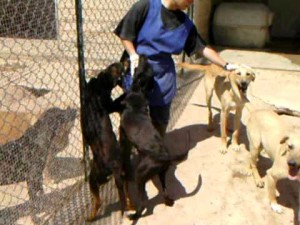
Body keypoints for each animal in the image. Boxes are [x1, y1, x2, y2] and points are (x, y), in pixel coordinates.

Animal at [119, 55, 185, 220]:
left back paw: (134, 215)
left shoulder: (123, 130)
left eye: (144, 66)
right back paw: (168, 201)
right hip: (162, 174)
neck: (139, 92)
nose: (143, 55)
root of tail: (165, 157)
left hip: (140, 176)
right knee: (166, 191)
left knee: (143, 203)